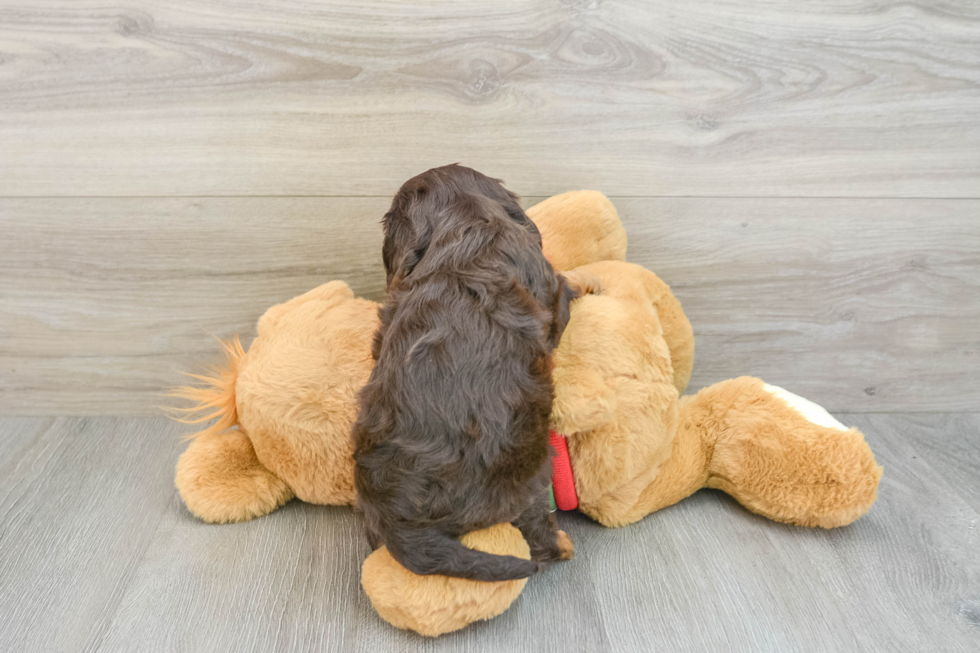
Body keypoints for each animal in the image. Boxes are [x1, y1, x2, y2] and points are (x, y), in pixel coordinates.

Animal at [354, 164, 592, 580]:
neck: (467, 220)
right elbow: (565, 293)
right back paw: (561, 545)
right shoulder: (552, 290)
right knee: (535, 528)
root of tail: (397, 521)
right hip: (529, 466)